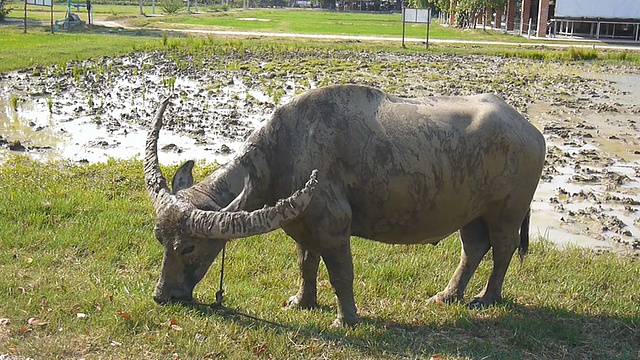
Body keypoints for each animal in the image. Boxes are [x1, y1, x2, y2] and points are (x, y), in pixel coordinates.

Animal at [145, 83, 544, 326]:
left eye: (189, 247)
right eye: (160, 240)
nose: (162, 297)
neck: (283, 153)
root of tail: (531, 130)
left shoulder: (334, 225)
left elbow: (340, 273)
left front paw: (345, 319)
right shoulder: (303, 225)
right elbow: (306, 265)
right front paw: (302, 301)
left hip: (507, 211)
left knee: (503, 250)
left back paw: (486, 297)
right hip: (471, 212)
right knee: (473, 248)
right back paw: (447, 296)